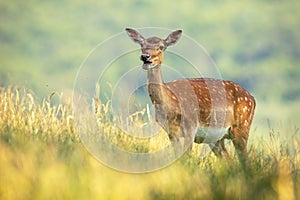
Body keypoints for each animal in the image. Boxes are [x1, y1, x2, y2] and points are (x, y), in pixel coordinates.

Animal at [125, 27, 256, 161]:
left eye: (161, 47)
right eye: (142, 45)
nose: (145, 56)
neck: (170, 104)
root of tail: (252, 98)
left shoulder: (191, 126)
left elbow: (187, 156)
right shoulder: (171, 132)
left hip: (242, 126)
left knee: (245, 159)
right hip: (216, 139)